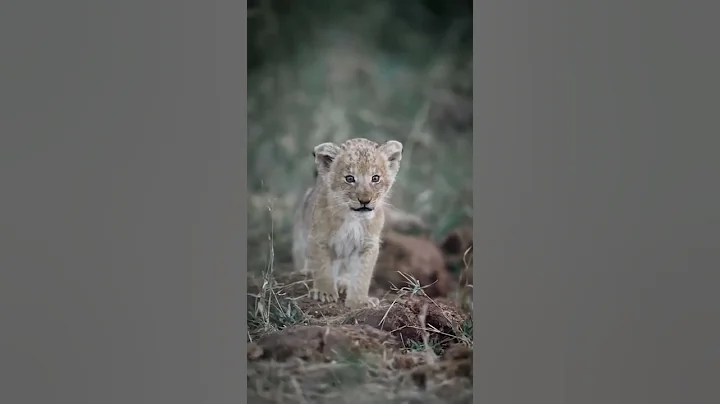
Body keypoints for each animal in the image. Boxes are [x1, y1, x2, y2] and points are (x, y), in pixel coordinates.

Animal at [291, 138, 404, 309]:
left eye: (375, 178)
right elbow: (323, 267)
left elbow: (362, 275)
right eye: (350, 178)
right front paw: (324, 293)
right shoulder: (319, 239)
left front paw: (360, 301)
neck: (353, 219)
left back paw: (343, 283)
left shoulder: (368, 244)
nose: (365, 200)